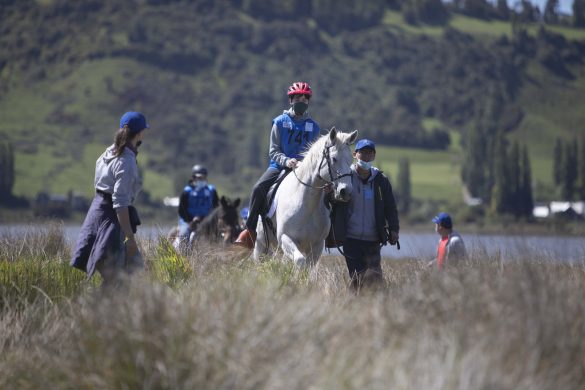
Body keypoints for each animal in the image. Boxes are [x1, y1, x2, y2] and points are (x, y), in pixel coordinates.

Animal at [254, 126, 358, 266]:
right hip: (261, 245)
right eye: (334, 158)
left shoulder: (317, 246)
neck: (307, 203)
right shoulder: (285, 238)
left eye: (350, 159)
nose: (345, 191)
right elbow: (299, 261)